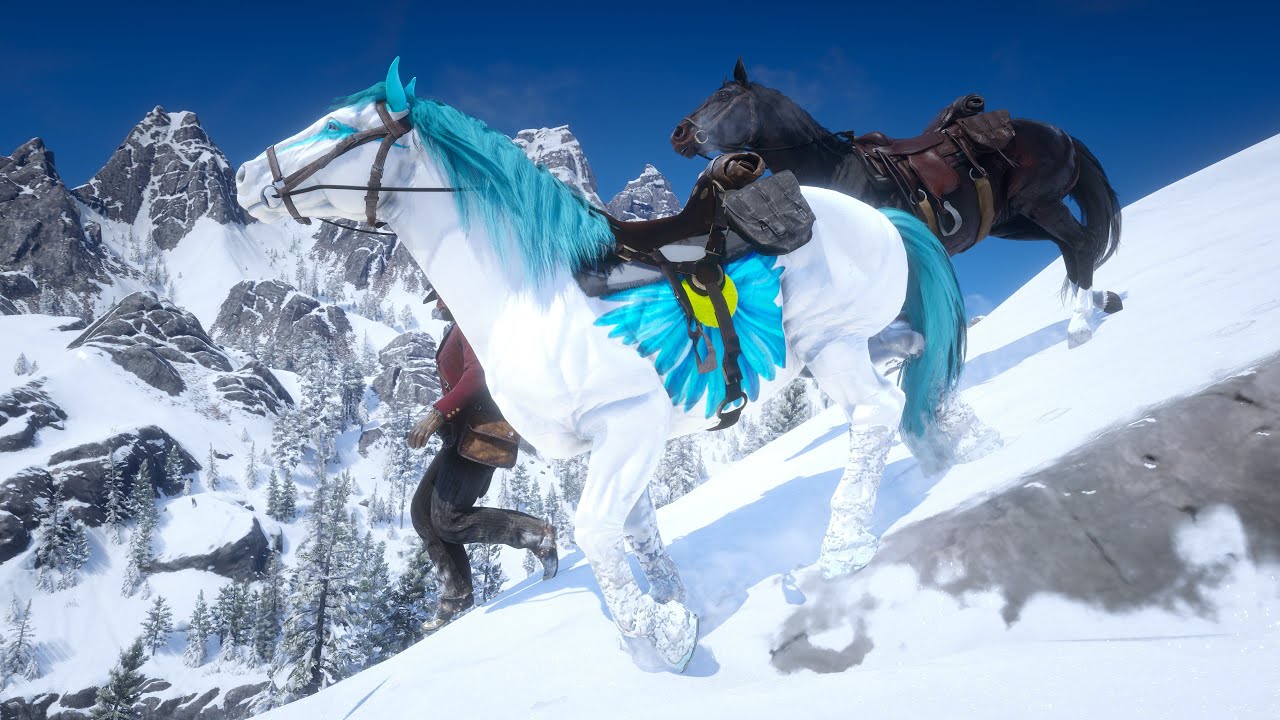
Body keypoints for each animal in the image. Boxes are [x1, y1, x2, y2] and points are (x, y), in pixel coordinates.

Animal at [235, 58, 998, 672]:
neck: (532, 292)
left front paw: (660, 637)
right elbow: (636, 533)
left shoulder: (627, 427)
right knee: (911, 358)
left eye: (339, 125)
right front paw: (675, 613)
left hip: (834, 348)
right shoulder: (605, 447)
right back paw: (958, 440)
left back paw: (844, 544)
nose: (244, 175)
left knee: (875, 411)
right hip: (828, 350)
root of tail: (876, 216)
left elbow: (596, 532)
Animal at [672, 59, 1124, 348]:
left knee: (1080, 244)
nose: (679, 133)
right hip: (1015, 222)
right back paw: (1102, 303)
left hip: (1040, 205)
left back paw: (1080, 325)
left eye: (724, 96)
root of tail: (1058, 132)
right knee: (1072, 248)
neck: (838, 173)